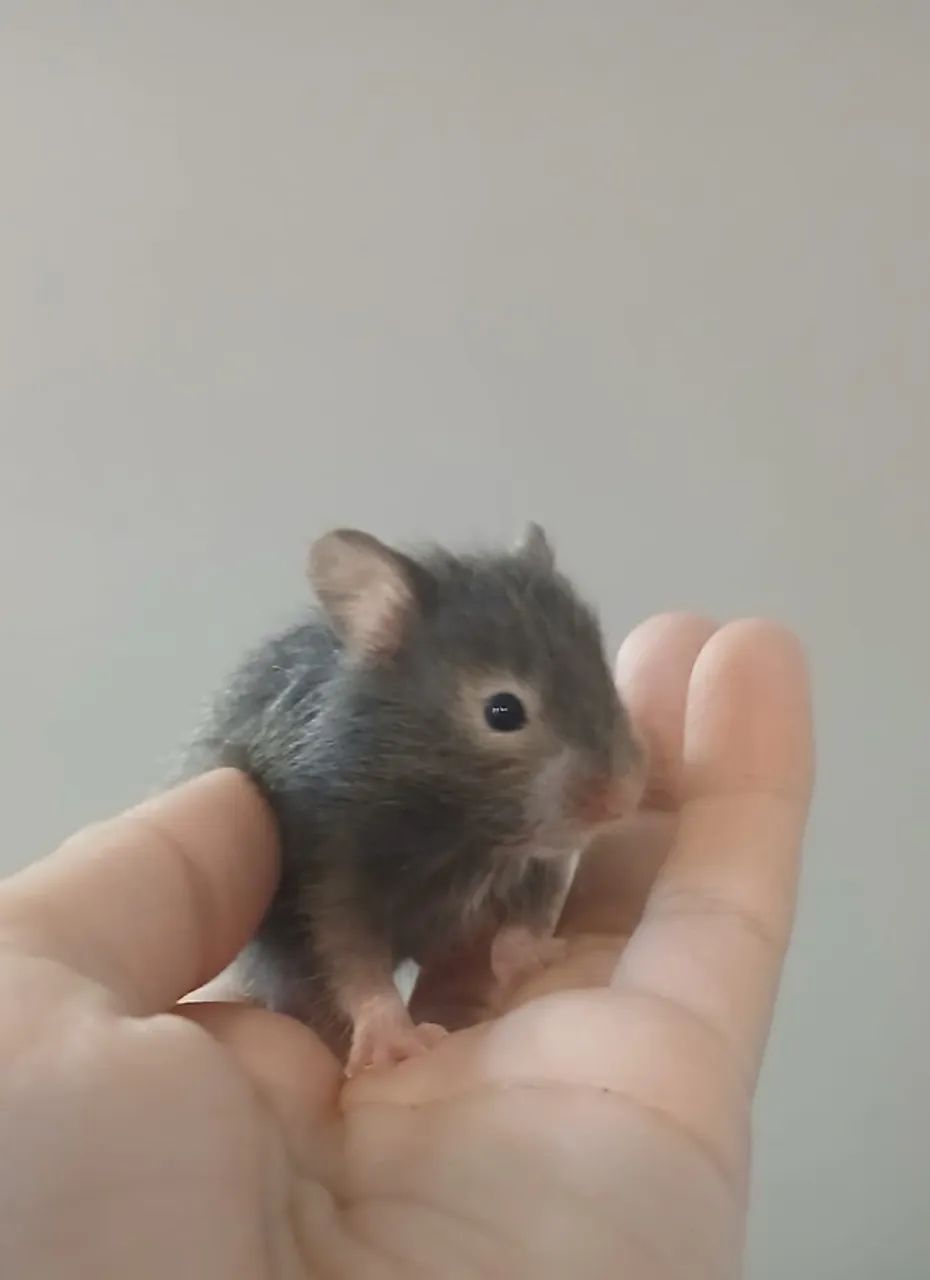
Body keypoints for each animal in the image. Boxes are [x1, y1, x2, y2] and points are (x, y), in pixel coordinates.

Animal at [184, 524, 644, 1074]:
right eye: (503, 711)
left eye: (604, 679)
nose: (623, 800)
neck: (461, 825)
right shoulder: (331, 875)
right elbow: (353, 961)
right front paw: (395, 1043)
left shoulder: (539, 861)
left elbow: (529, 915)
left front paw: (534, 956)